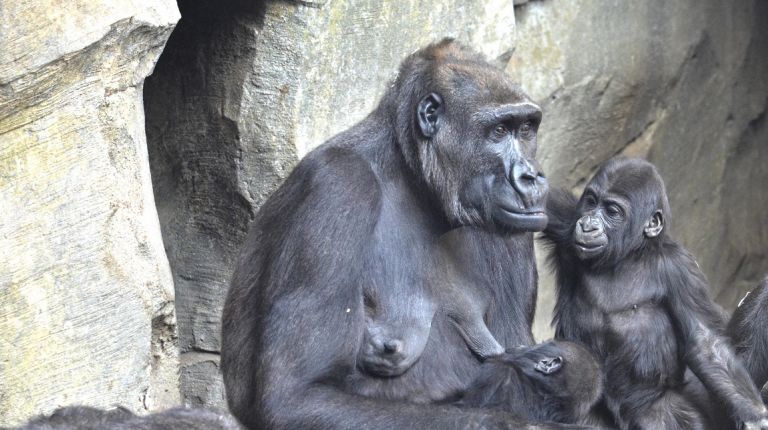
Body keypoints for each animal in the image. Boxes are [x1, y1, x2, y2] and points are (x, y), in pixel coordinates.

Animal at [219, 38, 596, 428]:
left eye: (525, 129)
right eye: (498, 131)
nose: (531, 176)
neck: (410, 175)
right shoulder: (337, 185)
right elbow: (297, 395)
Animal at [540, 158, 768, 430]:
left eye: (612, 211)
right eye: (591, 202)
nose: (587, 225)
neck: (626, 257)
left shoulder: (679, 268)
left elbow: (705, 341)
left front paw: (755, 417)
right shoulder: (566, 219)